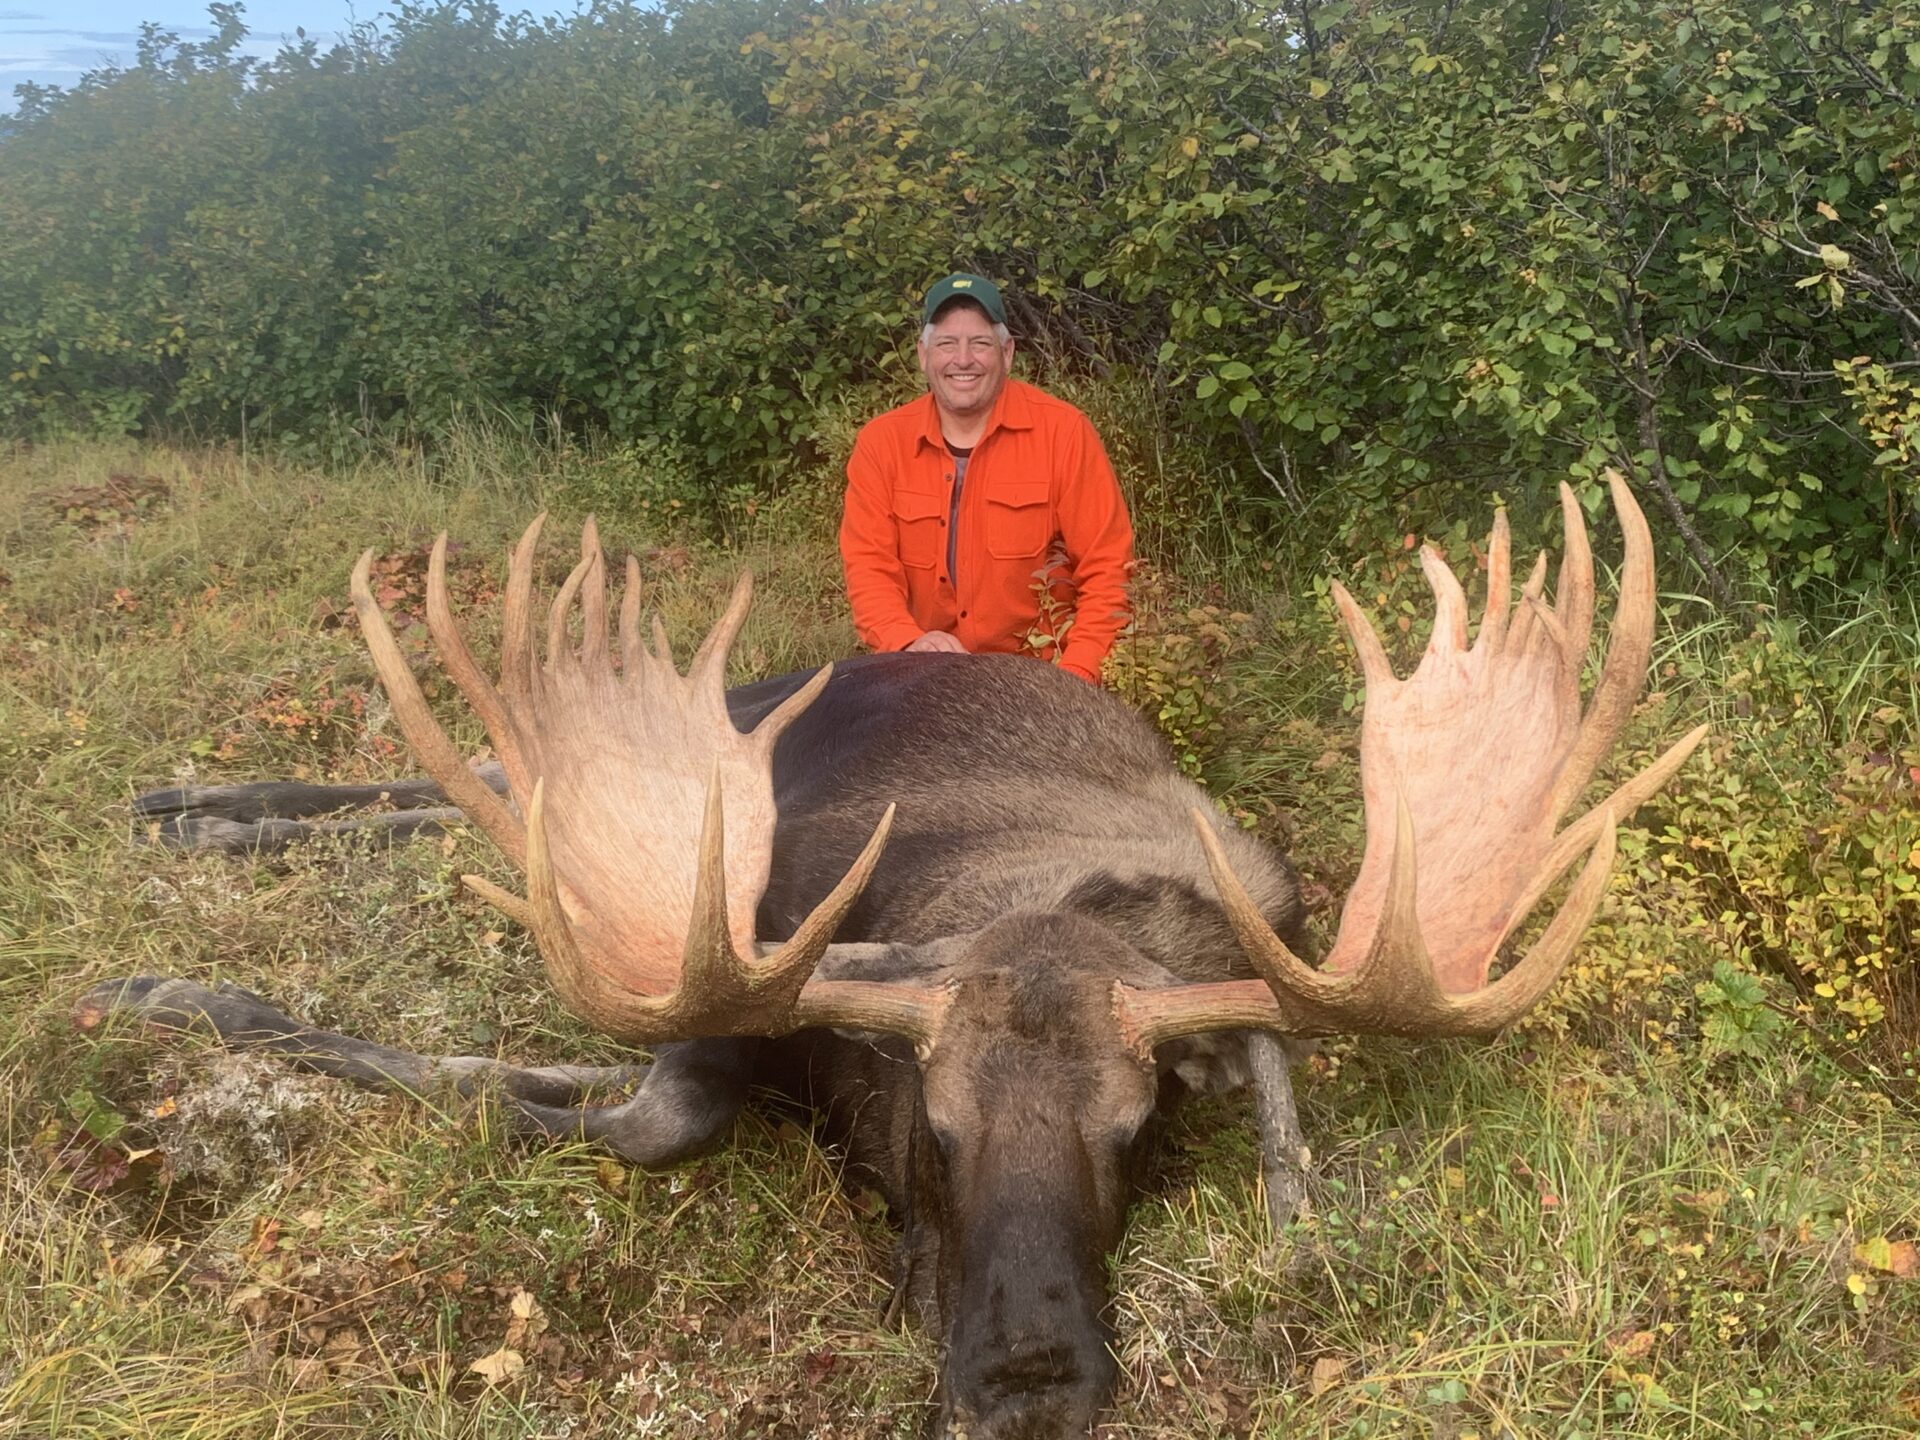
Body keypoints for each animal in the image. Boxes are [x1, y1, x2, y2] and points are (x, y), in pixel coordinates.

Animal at [85, 471, 1704, 1439]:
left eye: (1139, 1131)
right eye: (936, 1123)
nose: (1030, 1390)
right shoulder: (744, 941)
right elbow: (616, 1105)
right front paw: (172, 992)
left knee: (478, 790)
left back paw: (196, 813)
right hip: (739, 730)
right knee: (494, 774)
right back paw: (197, 809)